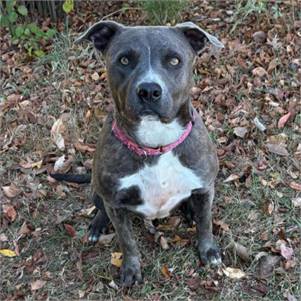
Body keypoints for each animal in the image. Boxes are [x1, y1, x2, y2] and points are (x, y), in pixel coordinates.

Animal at [53, 20, 223, 286]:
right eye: (124, 60)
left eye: (174, 60)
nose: (149, 90)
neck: (155, 144)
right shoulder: (115, 202)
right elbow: (127, 241)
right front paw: (130, 269)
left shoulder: (205, 187)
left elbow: (205, 224)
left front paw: (208, 251)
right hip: (97, 189)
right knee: (101, 207)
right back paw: (97, 226)